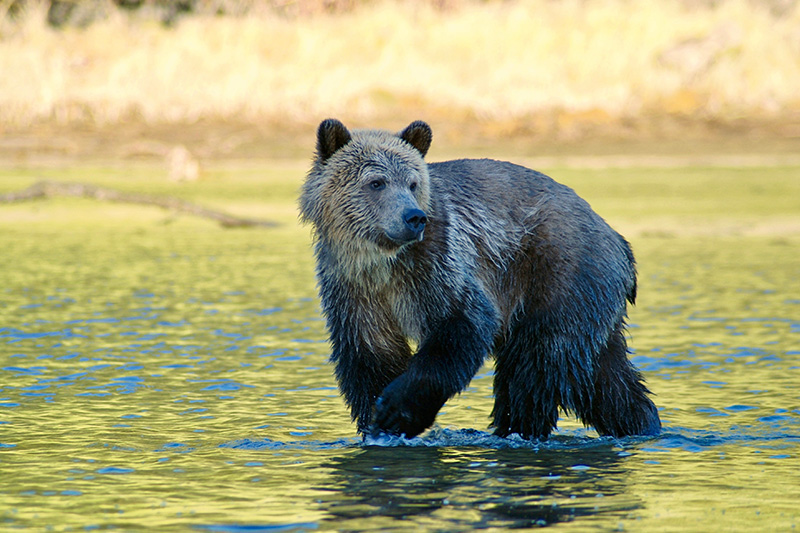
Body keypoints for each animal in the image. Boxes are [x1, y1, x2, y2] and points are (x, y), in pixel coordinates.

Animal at [299, 118, 661, 440]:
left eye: (413, 183)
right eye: (376, 182)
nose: (414, 217)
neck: (383, 261)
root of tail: (618, 239)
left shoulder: (440, 267)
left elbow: (463, 325)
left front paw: (395, 412)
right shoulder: (353, 287)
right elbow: (371, 353)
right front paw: (375, 420)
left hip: (559, 274)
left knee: (534, 368)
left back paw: (518, 429)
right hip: (591, 299)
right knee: (605, 381)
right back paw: (640, 422)